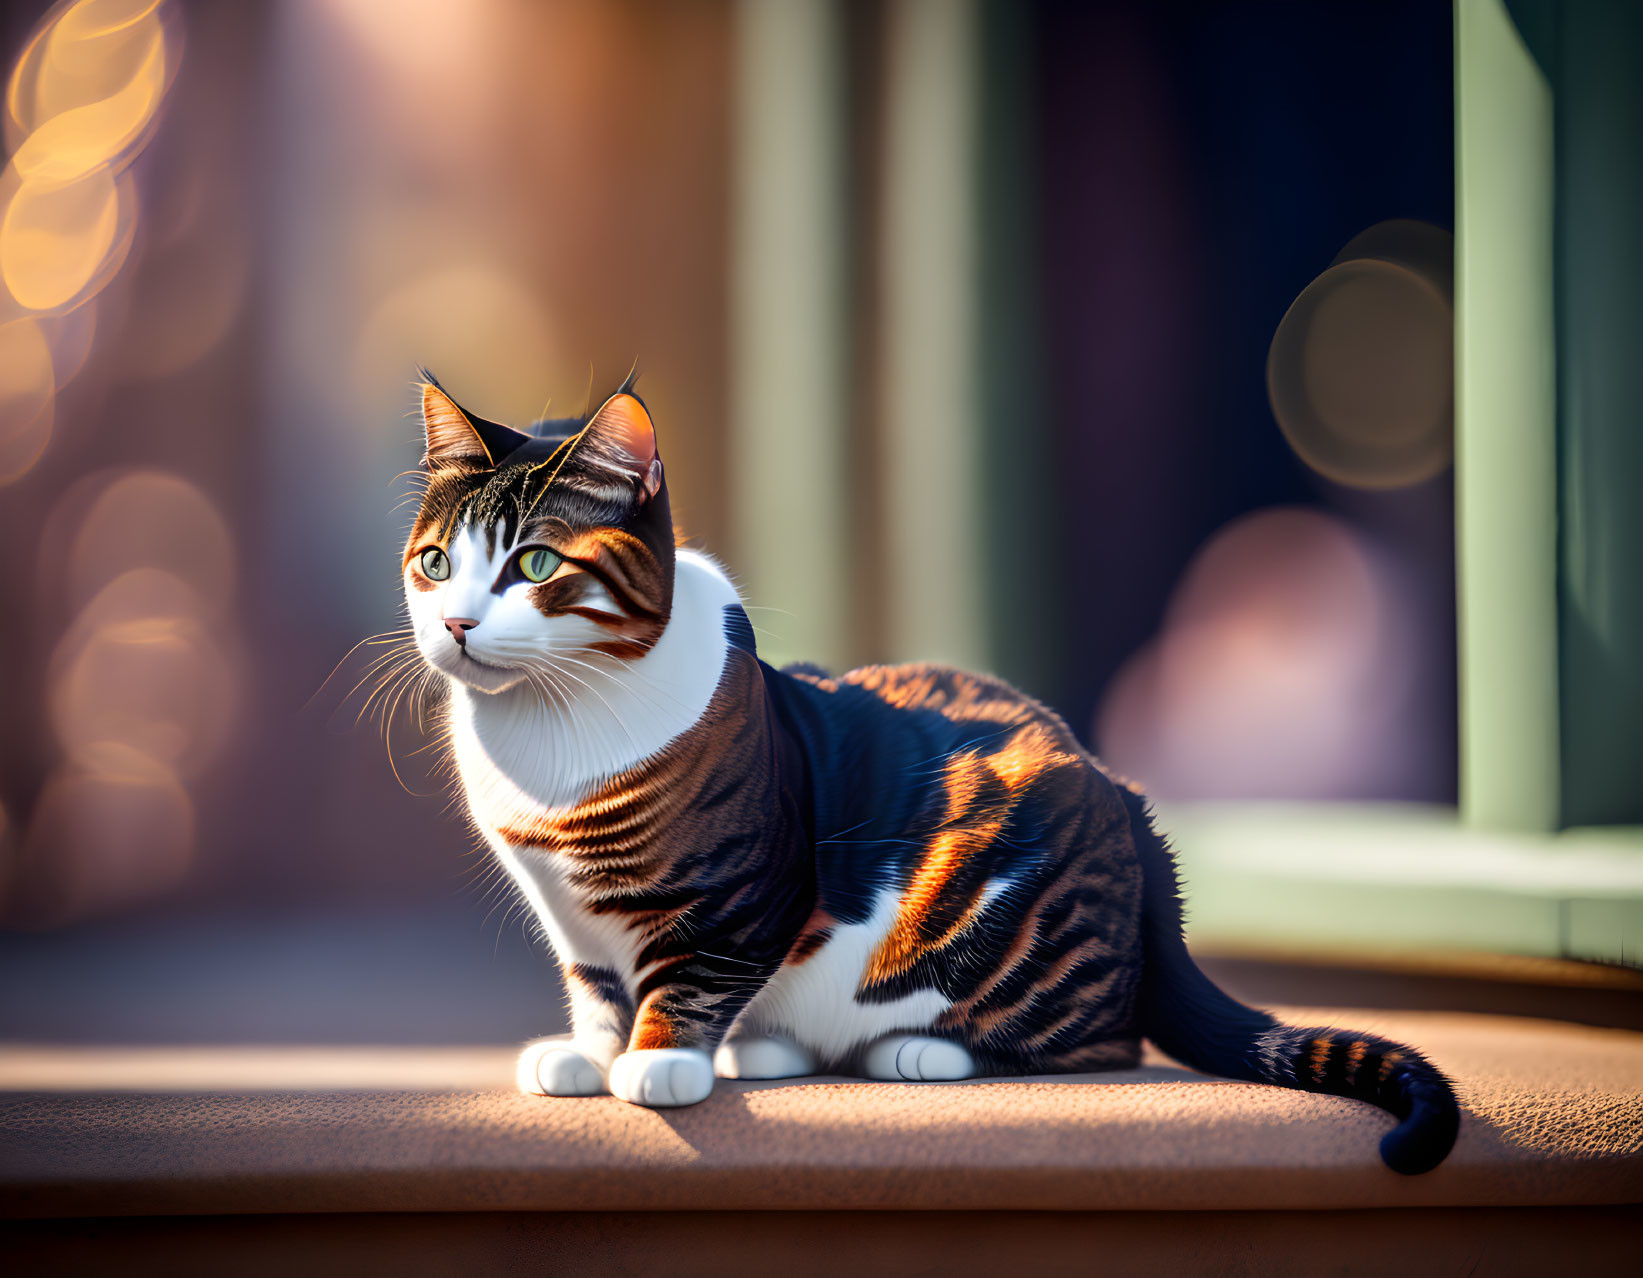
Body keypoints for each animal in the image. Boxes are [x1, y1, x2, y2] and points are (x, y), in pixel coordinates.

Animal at [400, 372, 1465, 1169]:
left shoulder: (747, 886)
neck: (547, 743)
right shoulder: (566, 912)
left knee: (1100, 1037)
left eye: (536, 566)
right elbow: (595, 985)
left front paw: (660, 1063)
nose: (456, 624)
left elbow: (690, 973)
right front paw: (590, 1054)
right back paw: (771, 1048)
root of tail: (1123, 796)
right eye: (436, 563)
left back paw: (915, 1051)